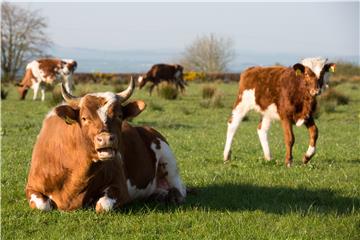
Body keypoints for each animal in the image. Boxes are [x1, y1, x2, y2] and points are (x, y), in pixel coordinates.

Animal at [25, 78, 186, 213]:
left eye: (119, 115)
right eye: (84, 118)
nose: (106, 139)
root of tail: (146, 129)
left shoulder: (120, 187)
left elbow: (103, 205)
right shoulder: (31, 187)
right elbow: (43, 205)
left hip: (168, 160)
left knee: (180, 189)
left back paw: (172, 196)